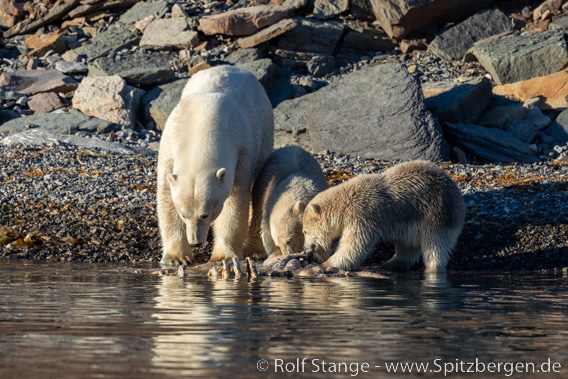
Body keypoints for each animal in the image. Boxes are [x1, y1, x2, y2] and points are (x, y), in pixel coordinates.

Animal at [158, 65, 272, 266]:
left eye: (205, 215)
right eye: (183, 214)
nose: (195, 242)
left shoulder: (243, 150)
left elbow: (236, 200)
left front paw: (223, 255)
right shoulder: (170, 141)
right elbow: (166, 195)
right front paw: (176, 258)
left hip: (264, 129)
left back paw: (255, 251)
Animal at [304, 160, 464, 274]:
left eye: (305, 231)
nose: (306, 247)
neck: (347, 202)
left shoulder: (362, 215)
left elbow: (354, 245)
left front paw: (325, 263)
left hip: (437, 215)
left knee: (435, 245)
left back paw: (432, 269)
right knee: (407, 246)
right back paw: (391, 264)